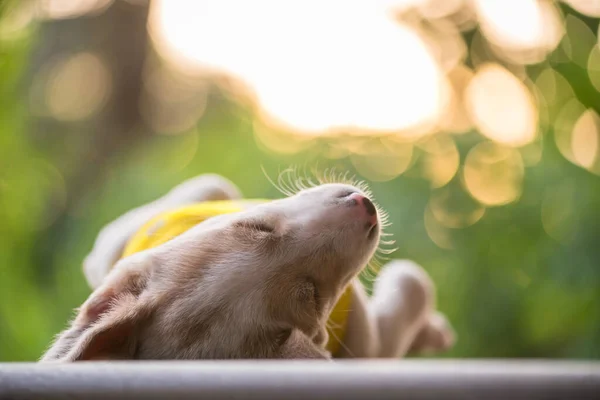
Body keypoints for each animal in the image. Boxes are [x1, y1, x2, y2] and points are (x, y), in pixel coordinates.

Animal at [41, 173, 454, 360]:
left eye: (256, 228)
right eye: (312, 299)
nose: (365, 206)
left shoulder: (111, 246)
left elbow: (210, 184)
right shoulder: (368, 346)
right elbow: (413, 285)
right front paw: (435, 329)